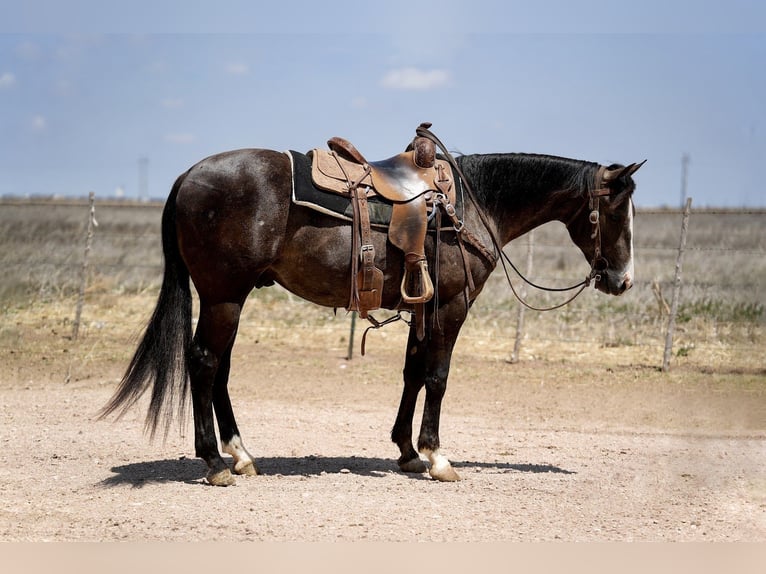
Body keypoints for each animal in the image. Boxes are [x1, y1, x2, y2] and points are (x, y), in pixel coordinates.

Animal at [100, 130, 643, 485]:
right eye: (616, 211)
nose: (622, 280)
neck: (473, 205)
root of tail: (187, 177)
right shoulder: (451, 307)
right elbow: (438, 377)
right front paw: (437, 457)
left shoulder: (422, 306)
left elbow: (412, 373)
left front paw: (406, 450)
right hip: (223, 297)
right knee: (205, 363)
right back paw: (214, 462)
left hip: (229, 298)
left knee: (220, 369)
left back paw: (241, 454)